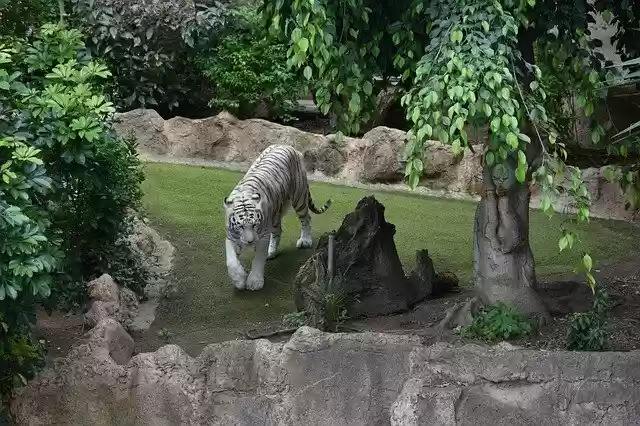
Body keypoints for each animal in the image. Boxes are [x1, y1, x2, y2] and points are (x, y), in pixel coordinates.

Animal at [223, 144, 332, 291]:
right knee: (278, 230)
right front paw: (239, 280)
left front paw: (255, 282)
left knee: (306, 218)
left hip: (299, 196)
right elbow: (231, 260)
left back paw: (305, 241)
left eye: (255, 225)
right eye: (240, 226)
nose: (250, 242)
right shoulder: (231, 236)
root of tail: (286, 145)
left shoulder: (262, 236)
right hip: (275, 215)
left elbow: (258, 259)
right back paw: (271, 252)